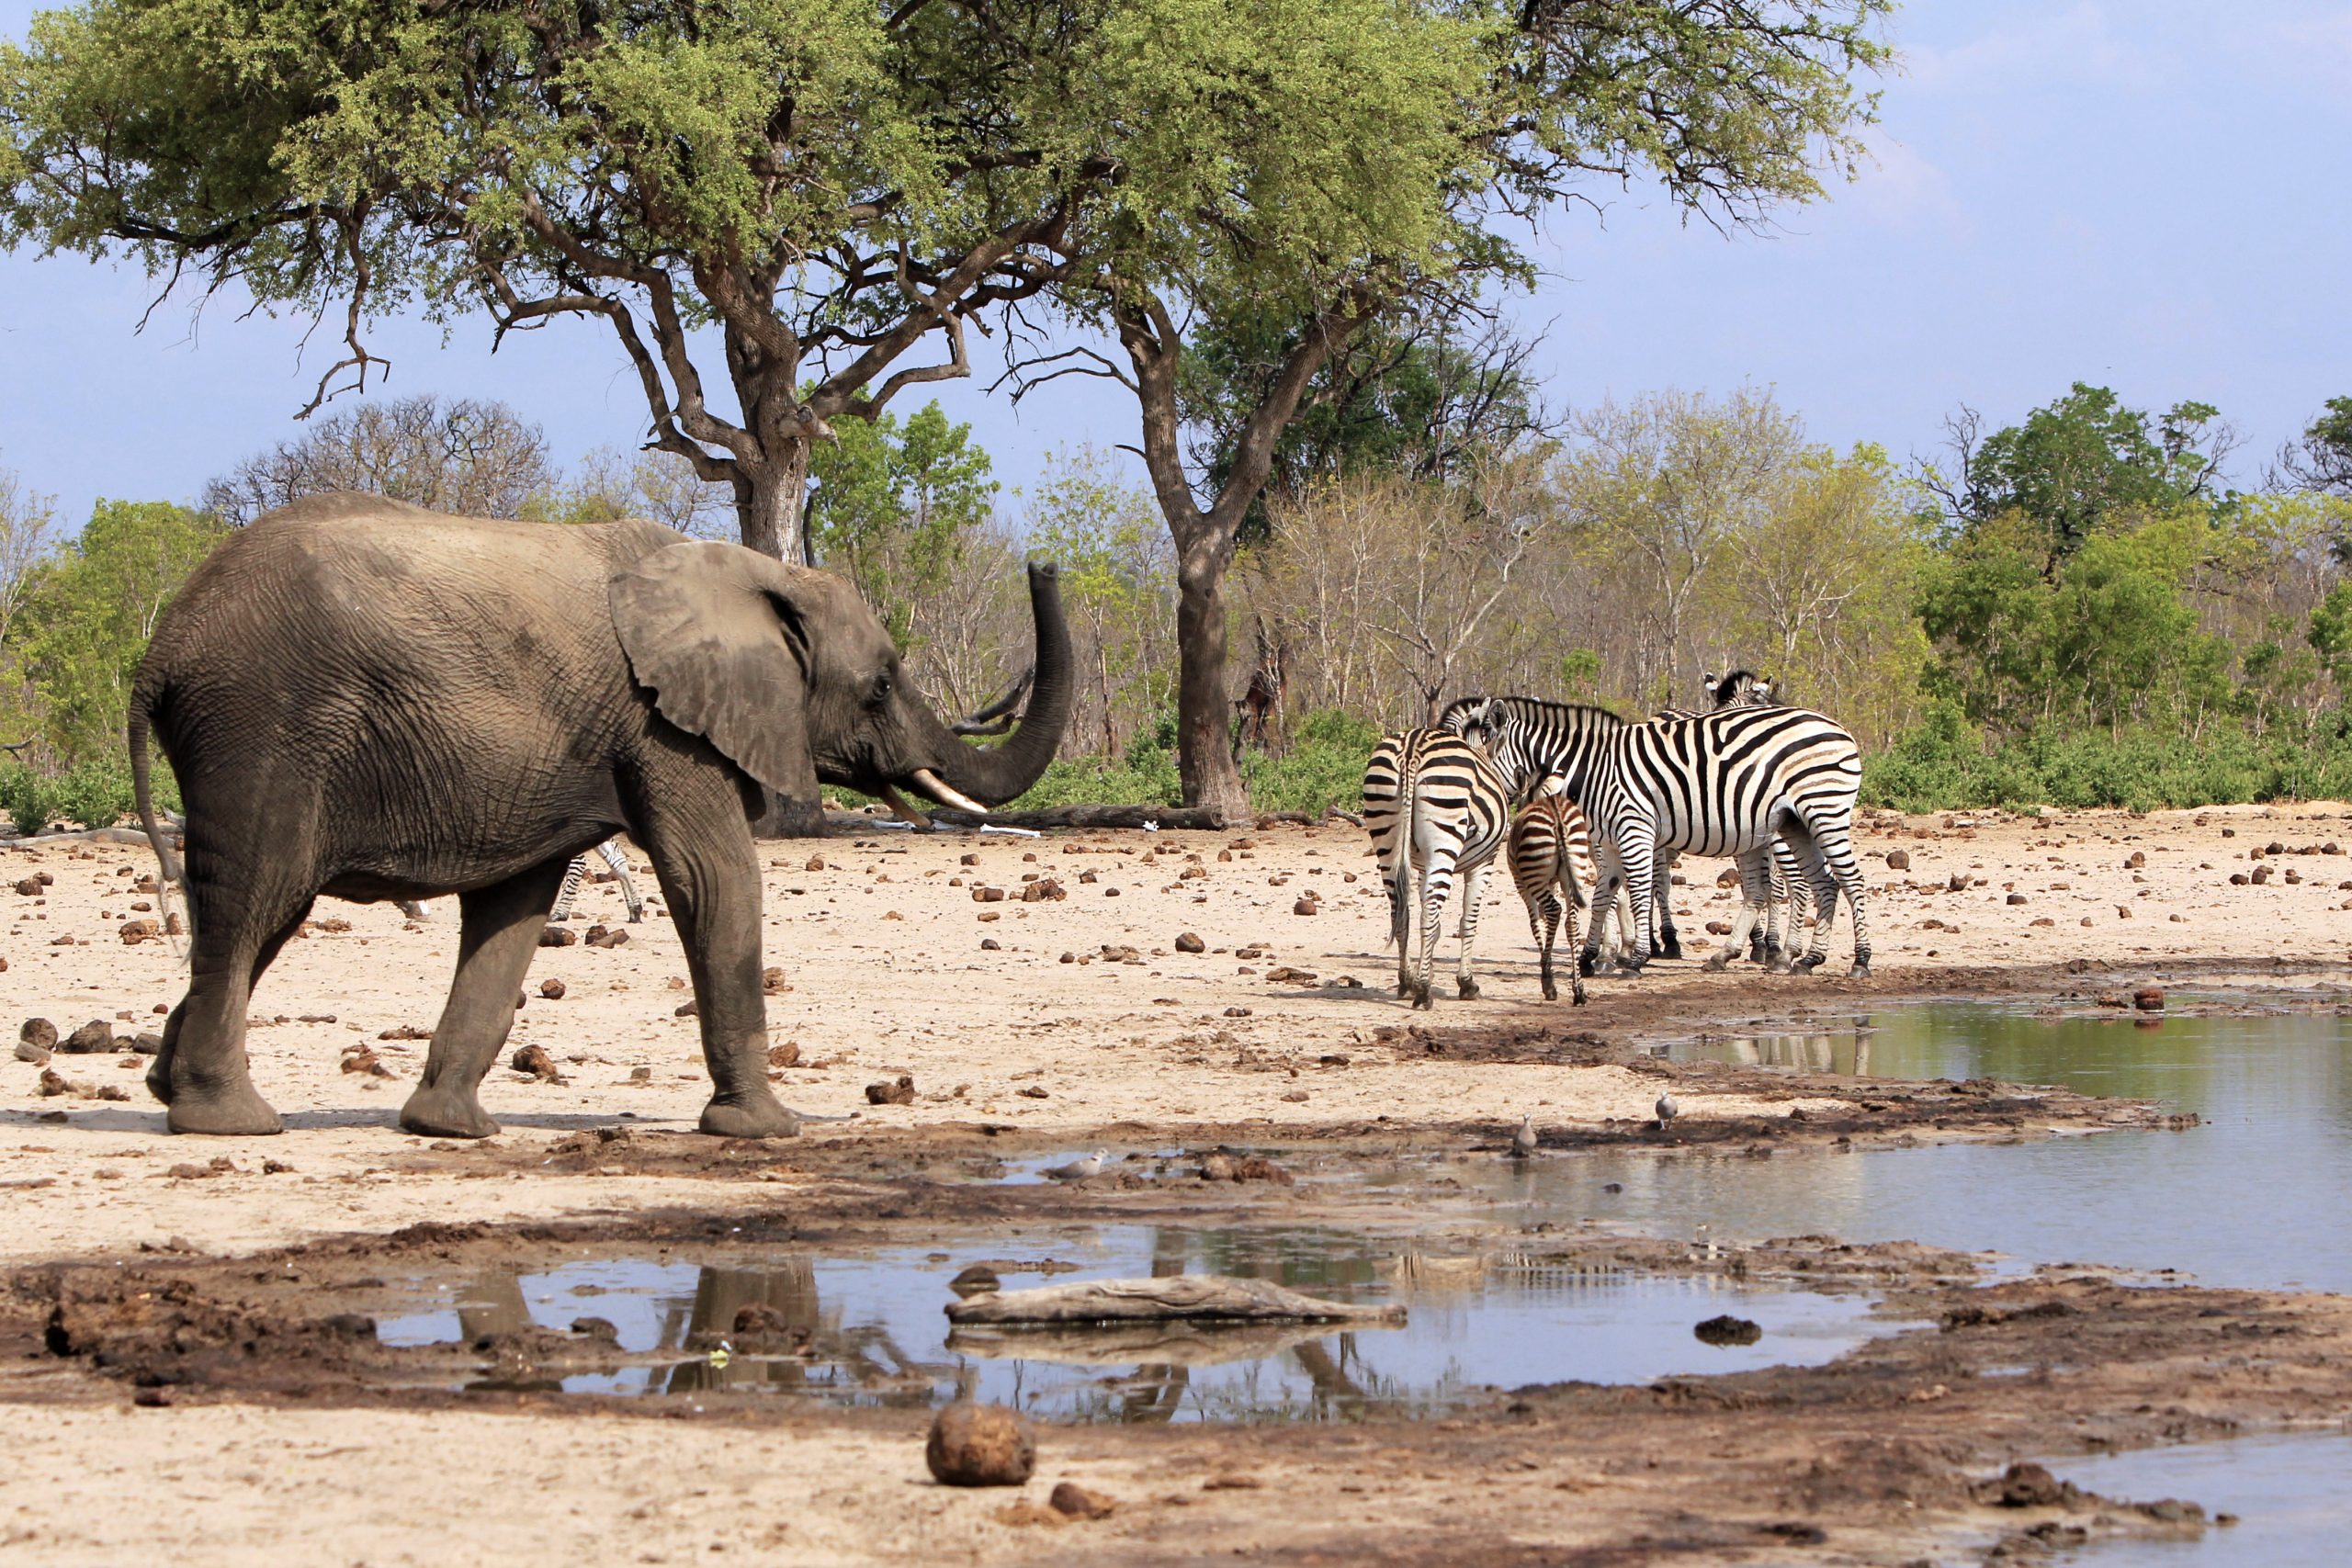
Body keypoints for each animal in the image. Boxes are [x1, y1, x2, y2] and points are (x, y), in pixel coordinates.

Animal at [133, 491, 1072, 1142]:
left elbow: (514, 910)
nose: (1044, 563)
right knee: (256, 897)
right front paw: (767, 1131)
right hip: (262, 730)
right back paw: (229, 1122)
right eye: (879, 686)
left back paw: (168, 1090)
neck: (752, 575)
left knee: (257, 913)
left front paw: (450, 1129)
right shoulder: (666, 727)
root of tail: (160, 649)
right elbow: (714, 879)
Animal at [1363, 719, 1505, 1010]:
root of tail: (1412, 748)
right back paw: (1424, 994)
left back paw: (1406, 982)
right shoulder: (1484, 863)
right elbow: (1468, 922)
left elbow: (1434, 925)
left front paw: (1421, 974)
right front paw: (1466, 983)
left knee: (1401, 914)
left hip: (1386, 841)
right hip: (1444, 840)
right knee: (1428, 914)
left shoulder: (1419, 870)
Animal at [1430, 700, 1871, 982]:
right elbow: (1605, 896)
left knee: (1846, 882)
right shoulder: (1609, 840)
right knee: (1820, 884)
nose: (1473, 800)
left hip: (1822, 812)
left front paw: (1634, 958)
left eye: (1481, 756)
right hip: (1795, 822)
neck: (1593, 767)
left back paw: (1857, 961)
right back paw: (1802, 959)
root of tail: (1840, 730)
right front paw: (1592, 958)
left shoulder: (1634, 829)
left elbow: (1639, 894)